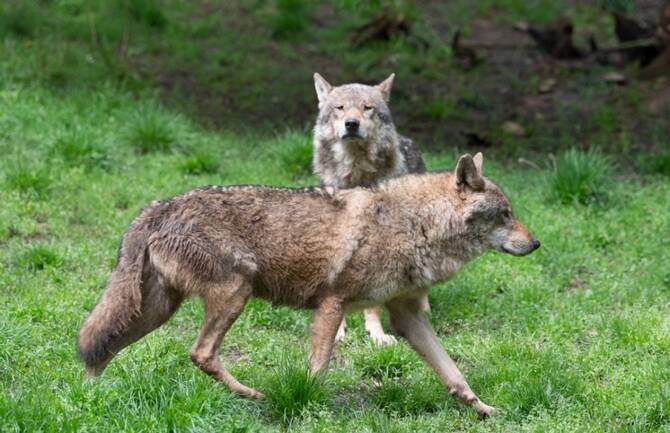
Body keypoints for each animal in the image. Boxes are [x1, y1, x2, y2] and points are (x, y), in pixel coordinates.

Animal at [77, 153, 540, 417]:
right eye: (504, 214)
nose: (536, 243)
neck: (416, 225)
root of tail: (159, 207)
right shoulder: (333, 304)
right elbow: (317, 373)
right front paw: (304, 405)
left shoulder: (406, 317)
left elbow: (454, 373)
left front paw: (484, 409)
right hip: (233, 293)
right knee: (199, 353)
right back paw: (255, 395)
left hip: (155, 310)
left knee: (99, 346)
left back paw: (88, 399)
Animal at [312, 72, 426, 346]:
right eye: (340, 108)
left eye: (367, 108)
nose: (352, 124)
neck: (355, 174)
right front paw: (338, 331)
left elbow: (373, 305)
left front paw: (377, 334)